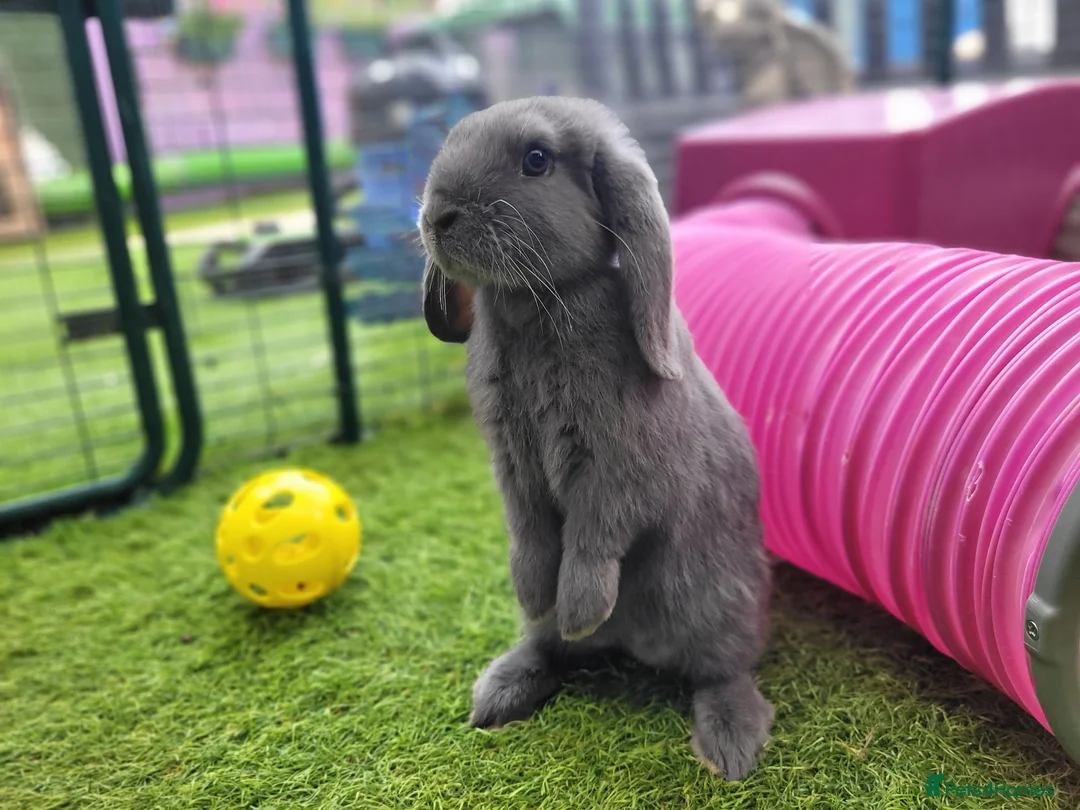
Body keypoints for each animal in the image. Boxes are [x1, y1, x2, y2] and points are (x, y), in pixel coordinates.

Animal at [418, 95, 773, 781]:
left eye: (537, 160)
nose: (437, 215)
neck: (537, 302)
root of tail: (637, 645)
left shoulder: (619, 471)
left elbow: (593, 538)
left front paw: (582, 607)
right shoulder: (513, 466)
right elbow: (531, 533)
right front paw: (534, 592)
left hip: (715, 601)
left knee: (724, 670)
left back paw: (730, 745)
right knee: (553, 650)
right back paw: (499, 693)